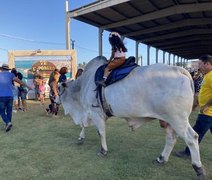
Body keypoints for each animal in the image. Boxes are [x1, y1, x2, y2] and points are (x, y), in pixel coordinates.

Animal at [57, 56, 206, 179]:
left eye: (58, 89)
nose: (55, 101)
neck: (83, 85)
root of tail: (179, 69)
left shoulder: (95, 113)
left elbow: (101, 132)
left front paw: (103, 150)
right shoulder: (90, 113)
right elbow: (84, 125)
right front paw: (81, 138)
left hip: (178, 119)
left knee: (192, 138)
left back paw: (198, 169)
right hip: (169, 120)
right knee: (171, 139)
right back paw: (161, 159)